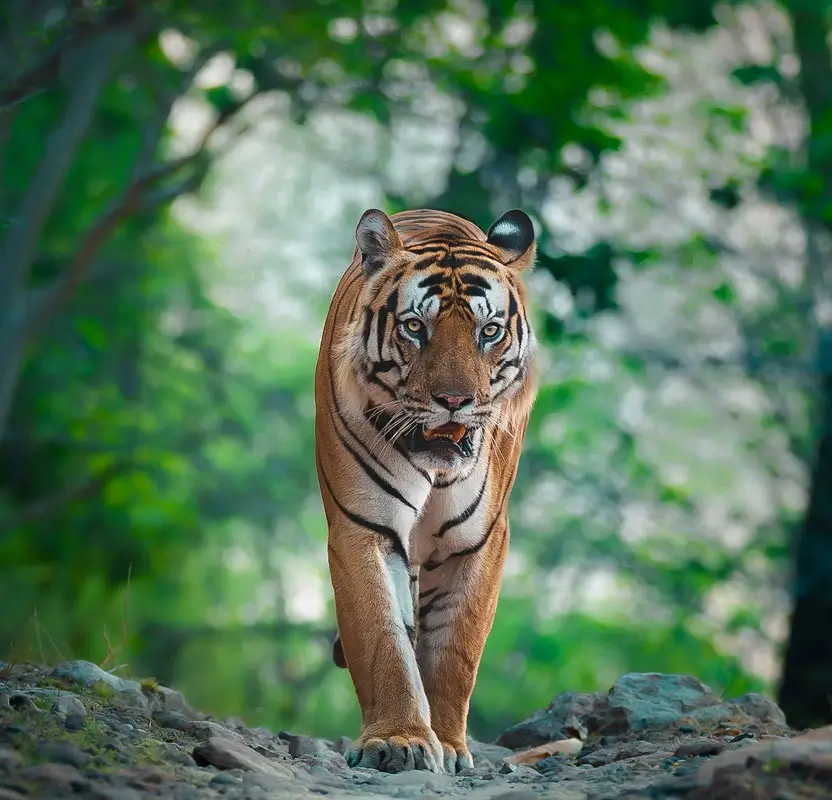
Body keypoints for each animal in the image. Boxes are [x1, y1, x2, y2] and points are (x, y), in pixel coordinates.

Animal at [314, 207, 537, 775]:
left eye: (489, 331)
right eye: (416, 326)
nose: (454, 401)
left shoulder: (481, 542)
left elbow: (456, 651)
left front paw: (451, 746)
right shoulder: (362, 527)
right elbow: (383, 638)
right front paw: (401, 740)